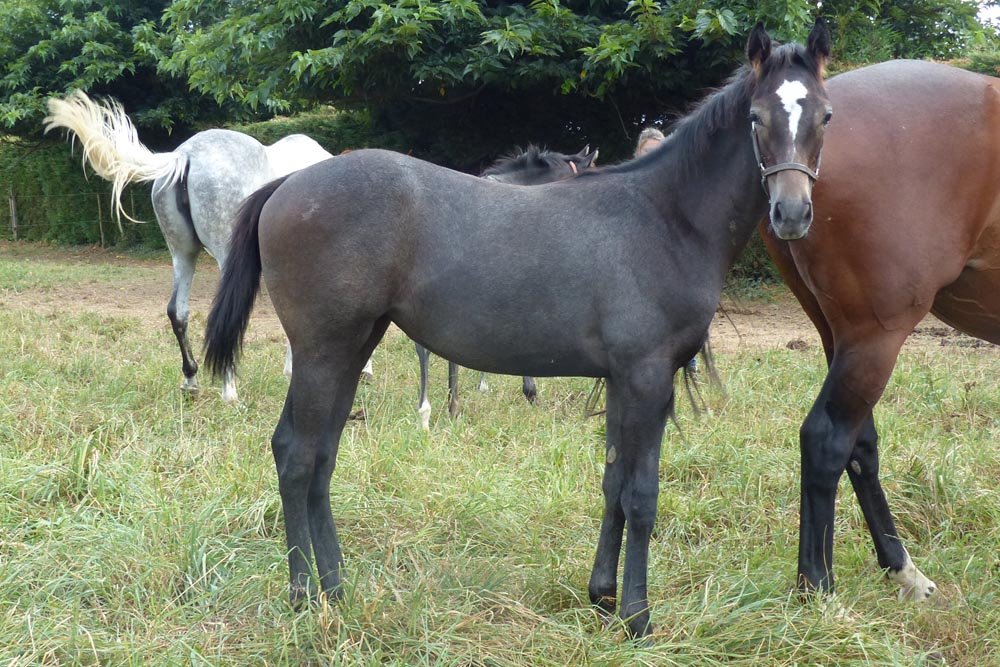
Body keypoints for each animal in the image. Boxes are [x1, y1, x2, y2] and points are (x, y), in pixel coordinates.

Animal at [42, 91, 337, 402]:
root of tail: (185, 155)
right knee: (225, 315)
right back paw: (229, 392)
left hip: (182, 255)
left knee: (178, 311)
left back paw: (191, 380)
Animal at [758, 59, 1000, 603]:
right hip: (875, 337)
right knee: (827, 438)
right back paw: (816, 587)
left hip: (841, 334)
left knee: (859, 444)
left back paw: (901, 567)